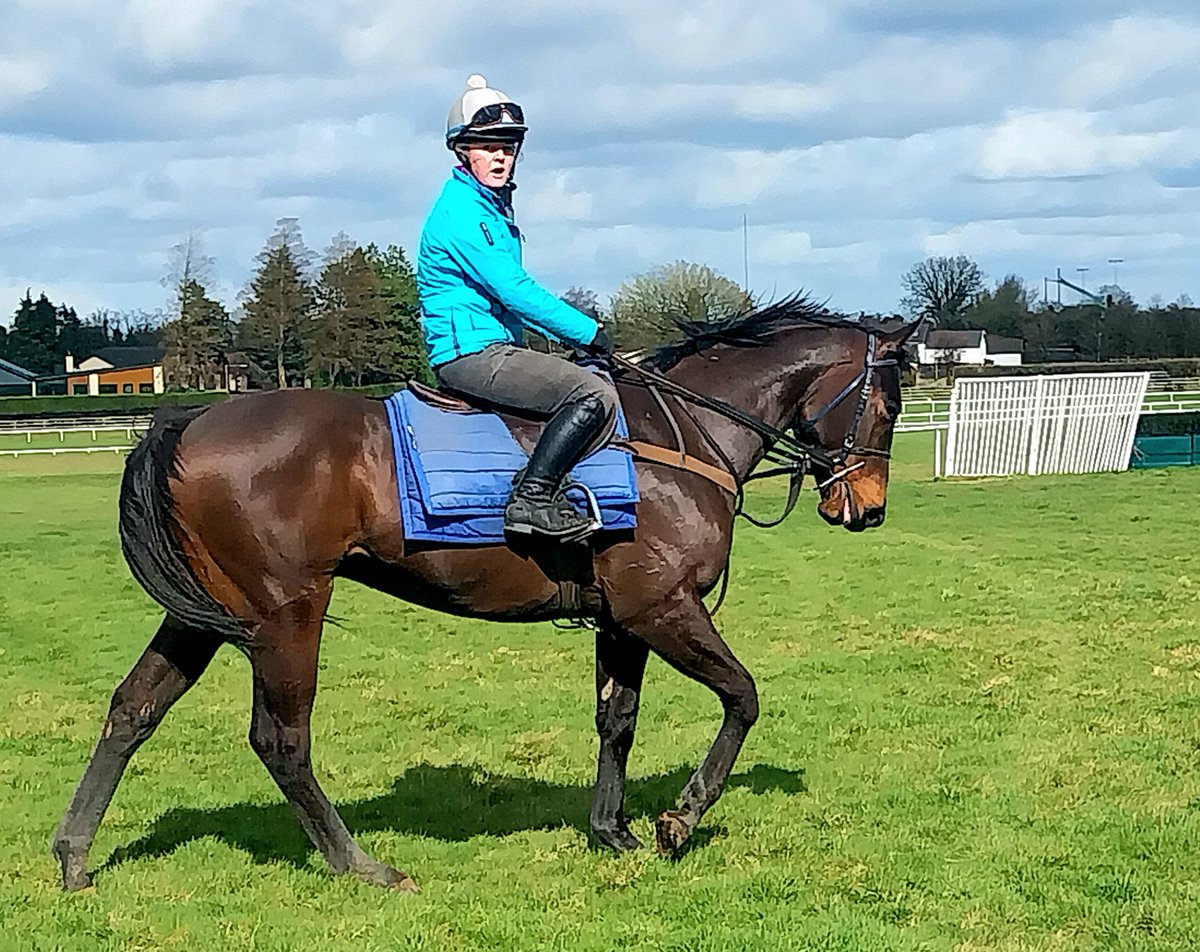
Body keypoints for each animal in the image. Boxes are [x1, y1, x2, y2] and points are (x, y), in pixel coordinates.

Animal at [51, 297, 912, 893]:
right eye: (890, 402)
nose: (866, 508)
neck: (680, 438)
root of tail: (191, 418)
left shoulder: (622, 622)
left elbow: (618, 721)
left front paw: (613, 831)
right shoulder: (663, 609)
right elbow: (743, 697)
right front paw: (681, 817)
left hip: (204, 614)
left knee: (132, 710)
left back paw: (73, 856)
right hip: (286, 615)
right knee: (280, 741)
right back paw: (361, 864)